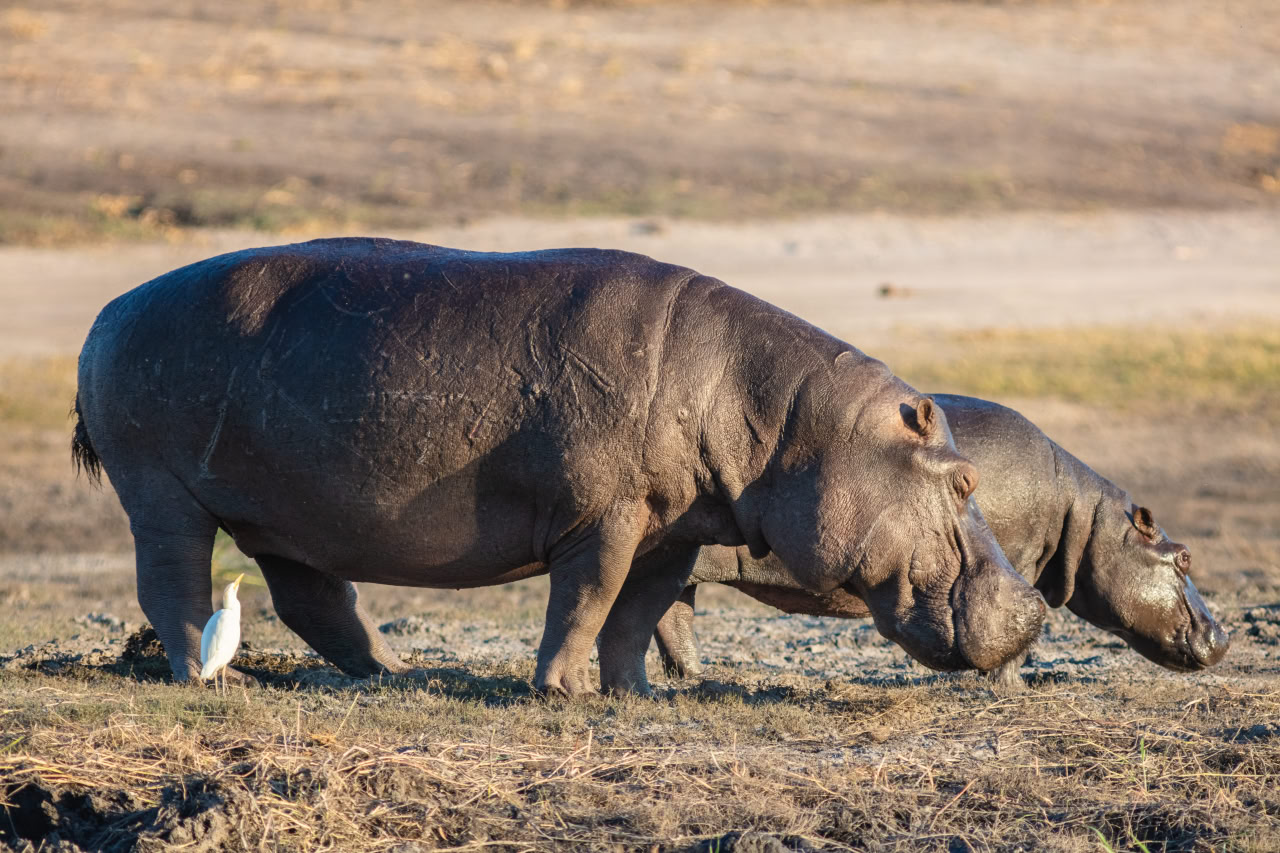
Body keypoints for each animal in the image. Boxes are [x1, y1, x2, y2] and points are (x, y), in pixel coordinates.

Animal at [71, 238, 1045, 695]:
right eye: (963, 480)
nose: (1036, 606)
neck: (785, 419)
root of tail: (105, 312)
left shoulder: (672, 525)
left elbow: (637, 610)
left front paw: (632, 695)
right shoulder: (605, 515)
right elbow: (586, 597)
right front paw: (563, 692)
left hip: (287, 516)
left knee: (315, 598)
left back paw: (398, 672)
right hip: (161, 492)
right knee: (173, 586)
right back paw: (211, 676)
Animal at [647, 394, 1230, 686]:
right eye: (1183, 556)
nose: (1223, 636)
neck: (1086, 518)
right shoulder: (1016, 564)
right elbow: (1018, 629)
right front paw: (1007, 686)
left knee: (672, 616)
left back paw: (694, 679)